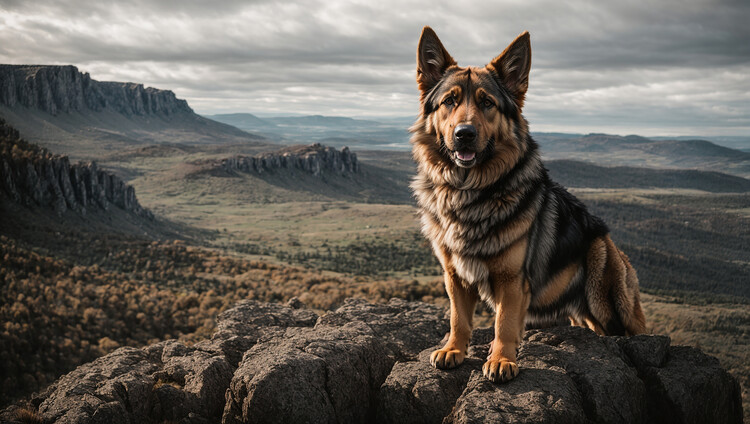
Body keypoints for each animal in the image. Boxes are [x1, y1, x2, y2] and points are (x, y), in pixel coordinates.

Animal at [412, 27, 648, 384]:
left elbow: (504, 323)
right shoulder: (455, 275)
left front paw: (501, 360)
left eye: (487, 102)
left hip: (602, 283)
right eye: (449, 101)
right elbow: (458, 318)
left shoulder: (512, 281)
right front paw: (453, 349)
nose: (464, 134)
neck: (471, 192)